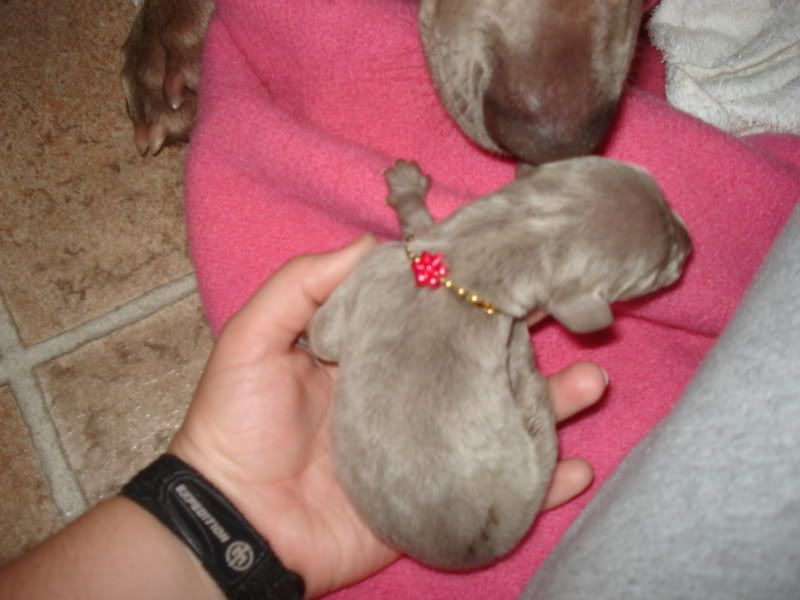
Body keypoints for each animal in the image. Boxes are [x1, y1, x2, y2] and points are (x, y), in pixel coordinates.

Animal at [306, 156, 692, 568]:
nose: (690, 245)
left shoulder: (372, 270)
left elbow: (323, 336)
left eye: (666, 198)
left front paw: (406, 187)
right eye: (656, 271)